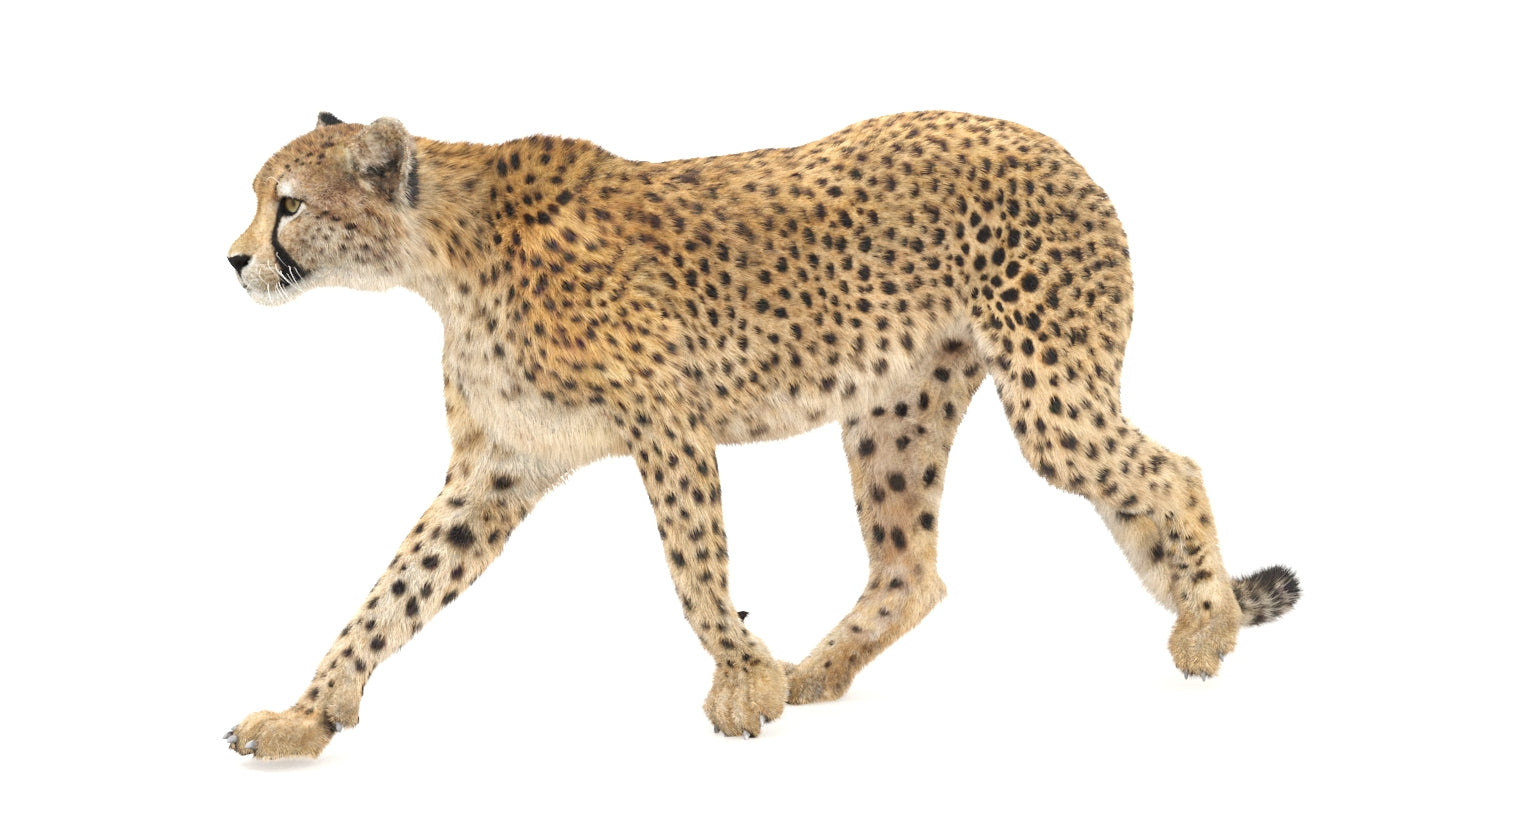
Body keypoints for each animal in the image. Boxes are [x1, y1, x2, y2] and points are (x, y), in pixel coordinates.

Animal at [223, 111, 1300, 758]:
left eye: (290, 204)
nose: (234, 259)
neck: (439, 255)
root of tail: (1051, 144)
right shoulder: (497, 471)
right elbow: (390, 594)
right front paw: (307, 714)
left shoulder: (666, 421)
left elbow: (696, 566)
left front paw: (740, 682)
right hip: (895, 413)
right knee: (913, 566)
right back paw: (817, 669)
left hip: (1047, 392)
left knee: (1174, 470)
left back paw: (1208, 621)